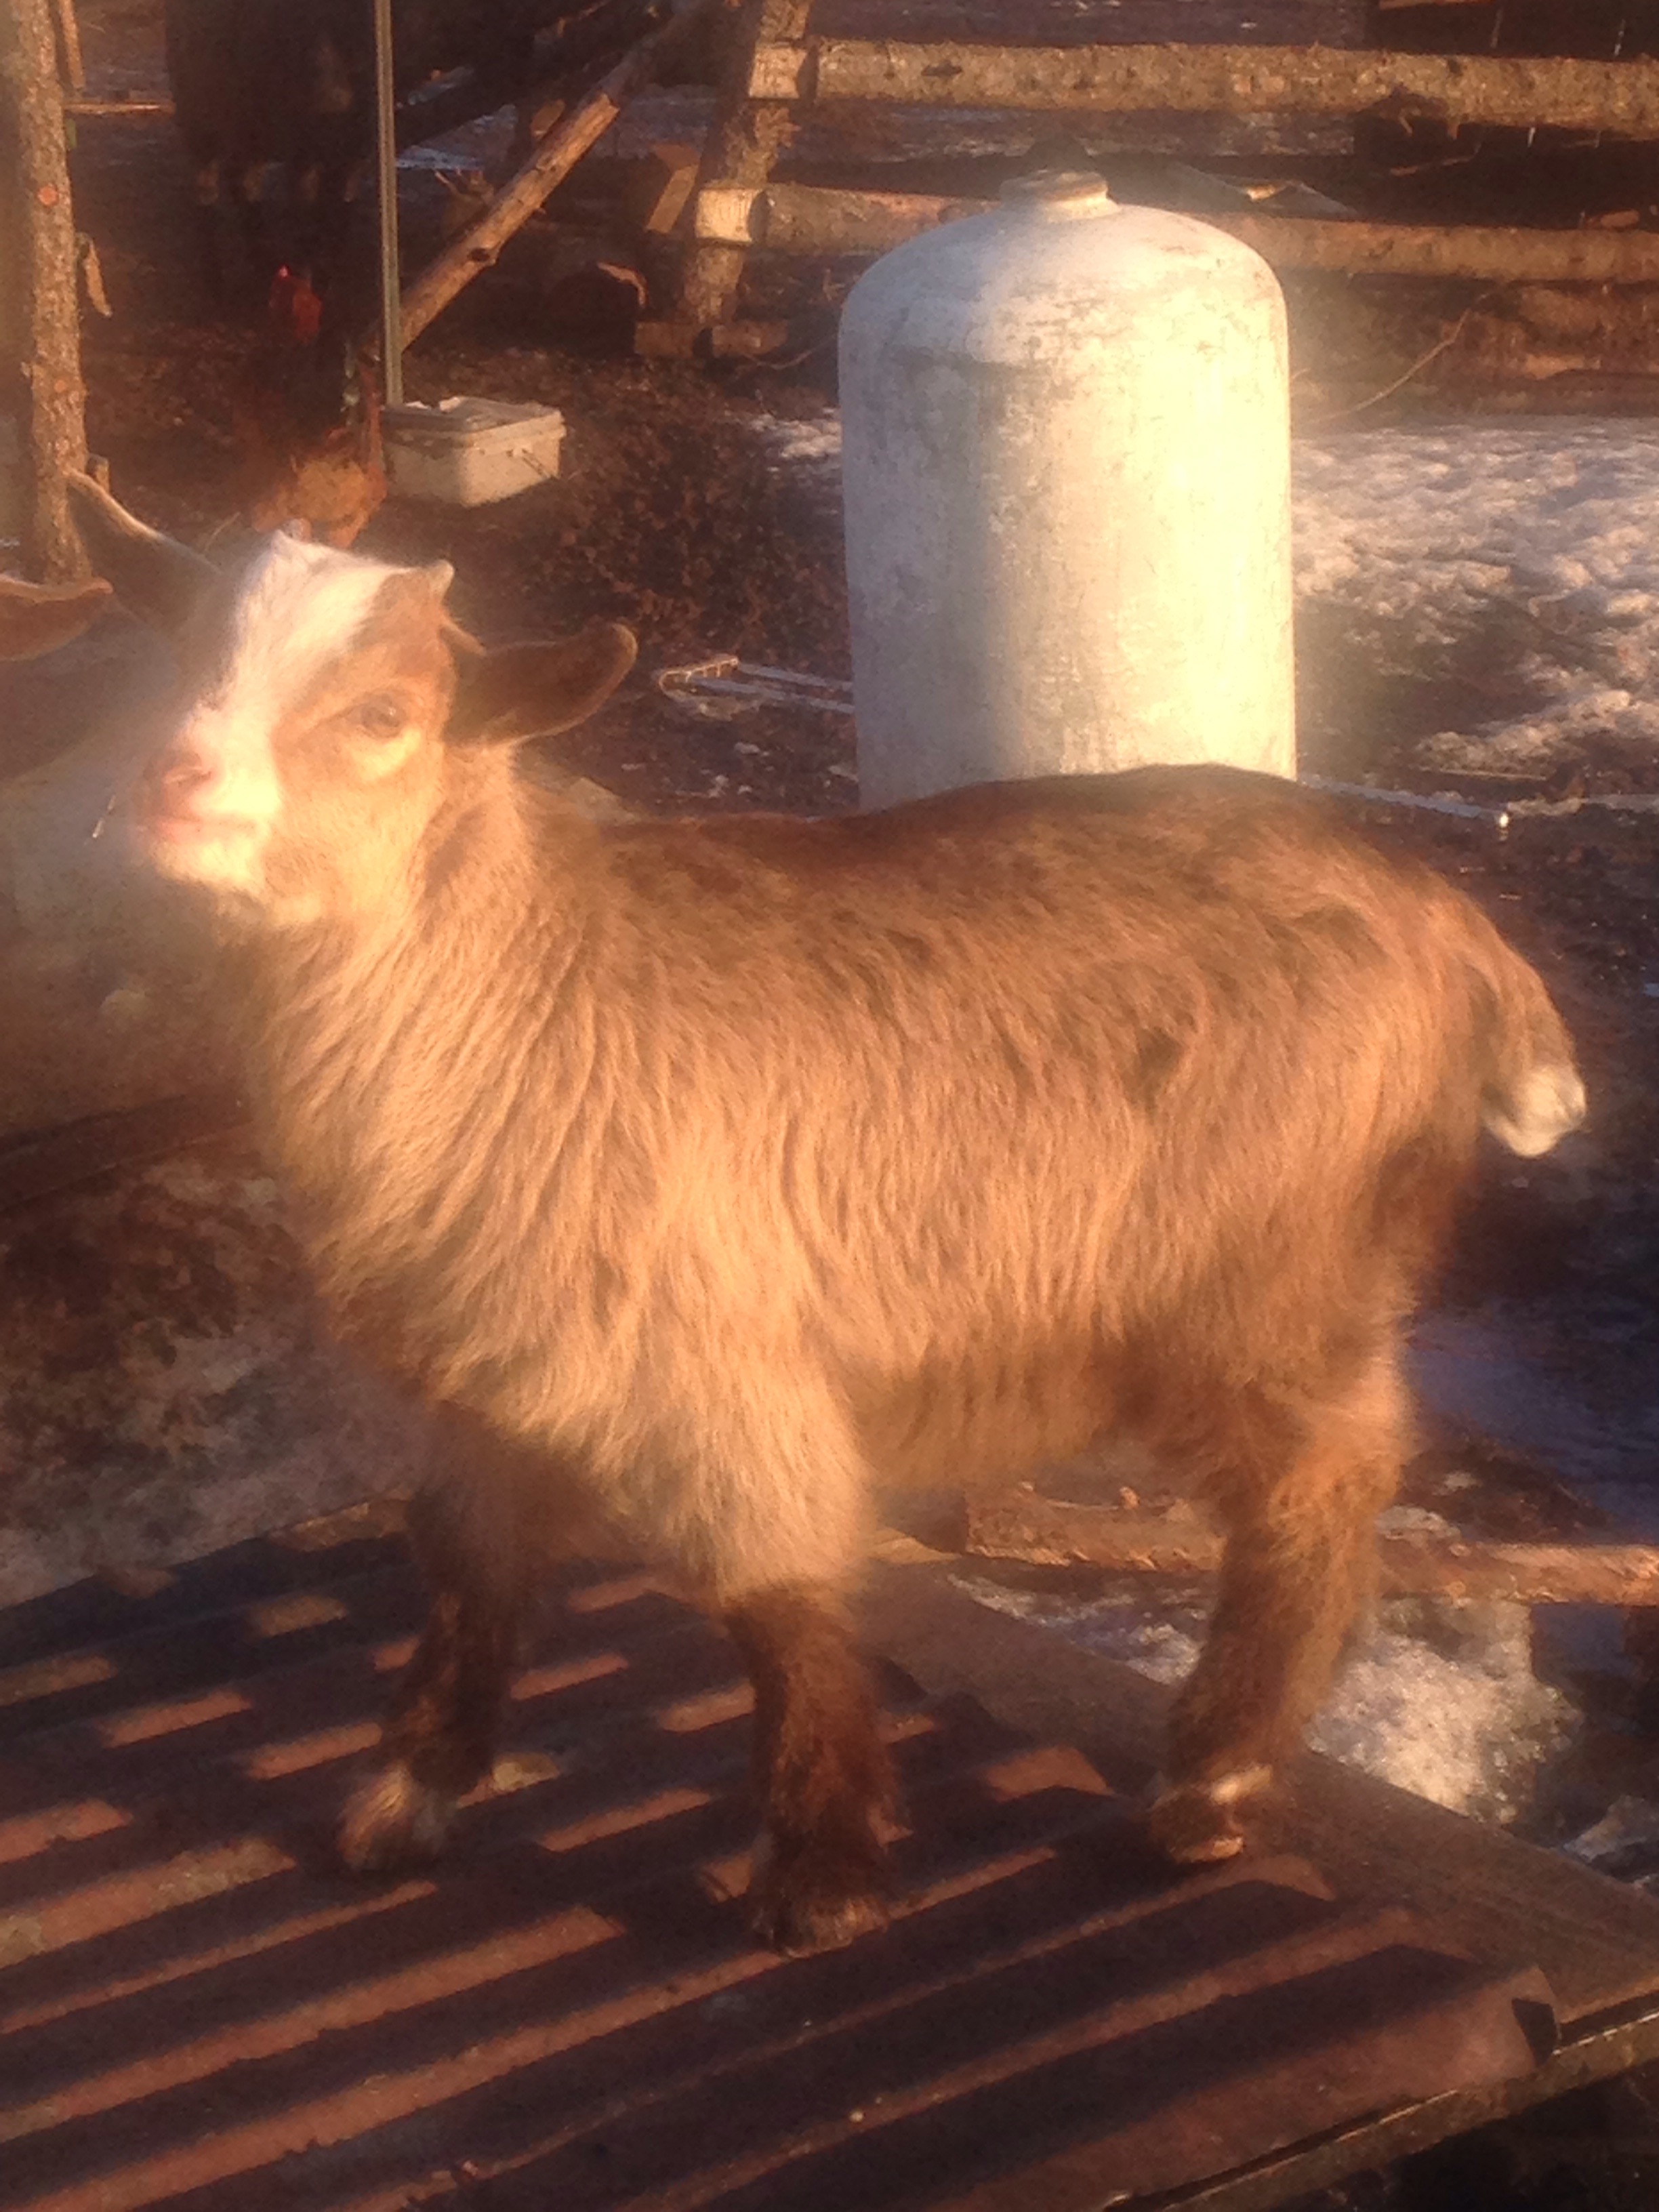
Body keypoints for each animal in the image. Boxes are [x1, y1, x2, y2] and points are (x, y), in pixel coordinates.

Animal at [69, 473, 1586, 1952]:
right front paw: (407, 1795)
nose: (165, 784)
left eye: (383, 713)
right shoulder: (485, 1381)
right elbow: (467, 1567)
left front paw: (826, 1870)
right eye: (186, 655)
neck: (528, 992)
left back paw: (1212, 1786)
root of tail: (1452, 925)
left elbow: (775, 1593)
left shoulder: (717, 1363)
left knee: (1320, 1488)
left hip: (1267, 1275)